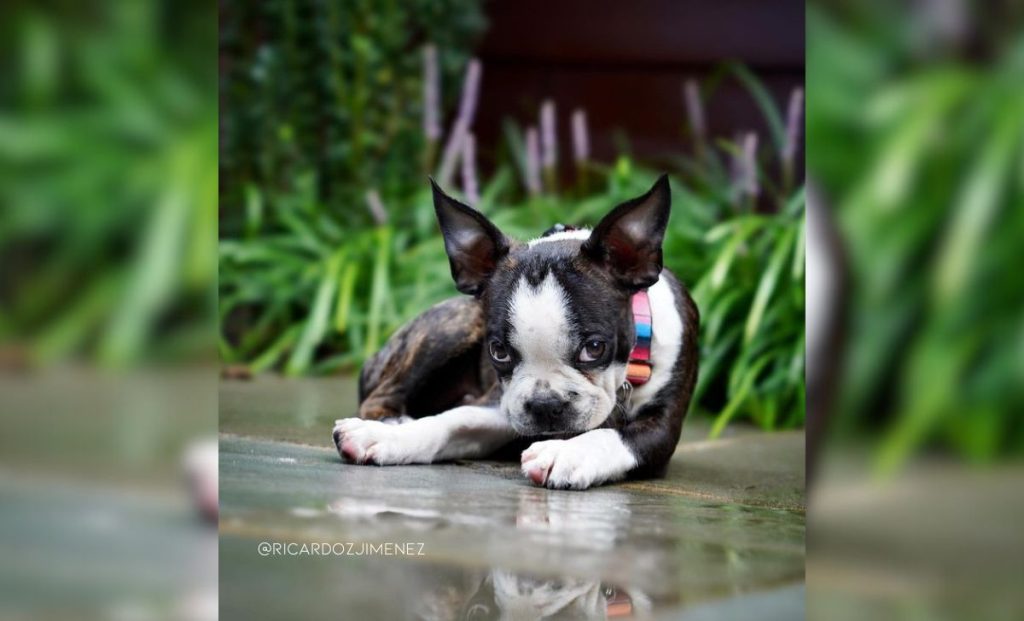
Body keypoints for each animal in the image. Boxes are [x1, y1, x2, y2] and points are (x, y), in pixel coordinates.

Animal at [331, 176, 700, 491]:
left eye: (594, 348)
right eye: (498, 351)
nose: (545, 404)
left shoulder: (663, 428)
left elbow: (617, 436)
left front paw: (568, 452)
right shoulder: (502, 404)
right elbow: (456, 418)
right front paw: (383, 437)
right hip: (454, 325)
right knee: (381, 394)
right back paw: (391, 422)